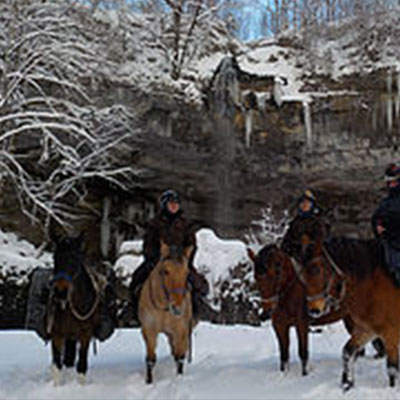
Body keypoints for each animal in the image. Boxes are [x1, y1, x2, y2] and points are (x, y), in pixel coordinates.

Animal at [48, 234, 102, 384]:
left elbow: (82, 364)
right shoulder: (57, 335)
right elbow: (57, 365)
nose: (60, 292)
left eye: (74, 258)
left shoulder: (86, 335)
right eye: (55, 258)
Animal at [138, 241, 195, 384]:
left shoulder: (180, 330)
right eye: (166, 271)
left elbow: (180, 357)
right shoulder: (149, 330)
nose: (177, 308)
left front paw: (179, 378)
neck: (164, 308)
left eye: (186, 272)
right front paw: (149, 382)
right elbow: (150, 359)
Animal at [250, 242, 368, 376]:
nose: (267, 310)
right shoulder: (279, 326)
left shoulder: (302, 324)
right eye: (256, 276)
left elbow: (303, 352)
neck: (290, 294)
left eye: (277, 271)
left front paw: (305, 374)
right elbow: (284, 355)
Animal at [300, 234, 400, 390]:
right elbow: (347, 352)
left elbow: (392, 369)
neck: (373, 285)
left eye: (318, 270)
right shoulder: (366, 329)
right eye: (303, 274)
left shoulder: (391, 334)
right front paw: (348, 382)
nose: (314, 310)